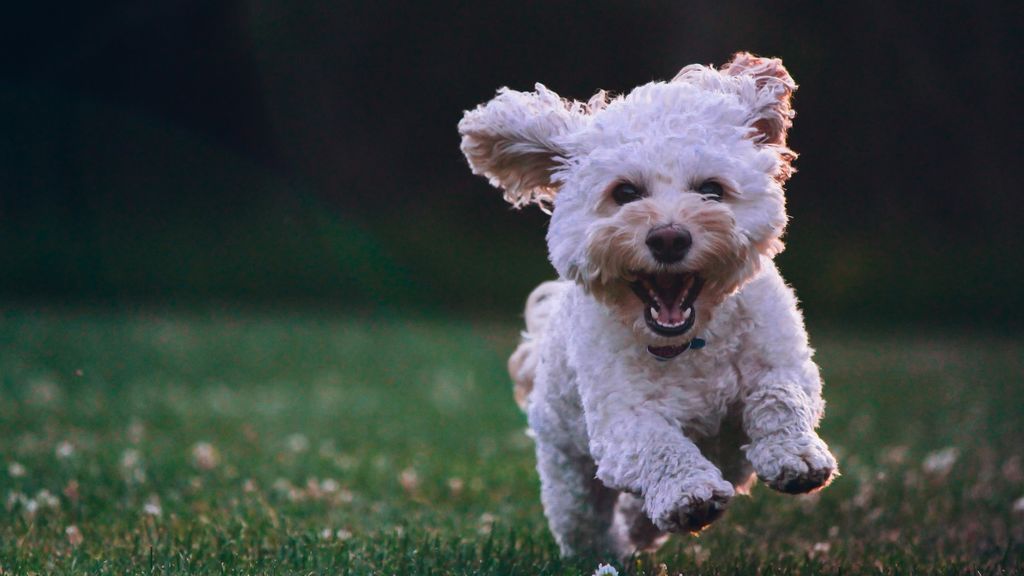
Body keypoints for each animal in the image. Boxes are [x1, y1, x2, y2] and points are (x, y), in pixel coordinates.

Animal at [460, 52, 835, 557]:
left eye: (711, 189)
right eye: (625, 193)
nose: (669, 238)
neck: (691, 343)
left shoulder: (784, 361)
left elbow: (780, 396)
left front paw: (795, 456)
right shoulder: (621, 421)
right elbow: (658, 445)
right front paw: (688, 493)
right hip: (567, 469)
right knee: (584, 519)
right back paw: (610, 549)